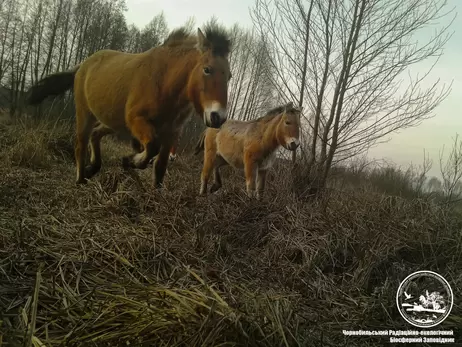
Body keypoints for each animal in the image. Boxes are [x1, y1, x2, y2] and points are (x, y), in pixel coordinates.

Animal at [26, 24, 231, 189]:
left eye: (229, 76)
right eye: (207, 69)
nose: (218, 117)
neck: (164, 83)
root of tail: (83, 65)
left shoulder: (171, 132)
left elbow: (160, 167)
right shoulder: (136, 120)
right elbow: (151, 148)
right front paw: (130, 160)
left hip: (114, 121)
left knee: (96, 134)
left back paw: (94, 167)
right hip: (86, 113)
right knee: (81, 144)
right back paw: (81, 179)